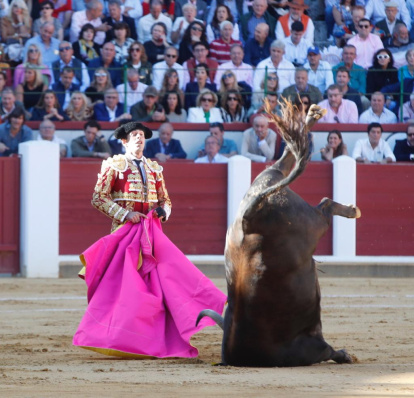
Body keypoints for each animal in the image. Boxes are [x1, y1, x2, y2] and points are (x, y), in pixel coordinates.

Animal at [196, 102, 360, 366]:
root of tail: (249, 216)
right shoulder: (314, 346)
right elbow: (329, 350)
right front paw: (344, 355)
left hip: (272, 191)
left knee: (292, 172)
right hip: (306, 219)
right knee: (318, 199)